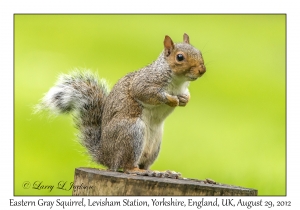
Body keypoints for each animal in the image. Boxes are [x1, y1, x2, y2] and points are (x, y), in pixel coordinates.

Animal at [36, 33, 205, 176]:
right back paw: (139, 171)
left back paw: (160, 172)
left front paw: (184, 100)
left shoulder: (182, 88)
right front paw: (171, 100)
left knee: (143, 164)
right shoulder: (144, 82)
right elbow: (146, 93)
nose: (202, 70)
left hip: (155, 143)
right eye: (180, 57)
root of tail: (106, 156)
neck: (178, 81)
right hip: (132, 132)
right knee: (127, 166)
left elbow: (186, 95)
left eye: (199, 52)